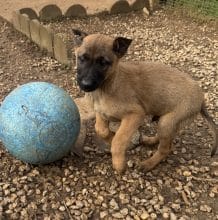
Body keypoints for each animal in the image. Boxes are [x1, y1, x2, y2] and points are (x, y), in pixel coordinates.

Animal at [72, 29, 217, 174]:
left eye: (103, 63)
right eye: (82, 58)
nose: (86, 85)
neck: (108, 86)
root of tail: (201, 98)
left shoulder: (135, 115)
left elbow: (119, 140)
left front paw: (119, 164)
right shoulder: (101, 113)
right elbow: (101, 130)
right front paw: (110, 137)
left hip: (168, 121)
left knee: (166, 148)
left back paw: (148, 164)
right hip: (166, 121)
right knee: (167, 139)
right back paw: (150, 141)